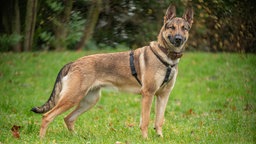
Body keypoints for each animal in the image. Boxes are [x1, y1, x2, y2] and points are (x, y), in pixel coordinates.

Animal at [31, 4, 192, 138]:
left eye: (184, 28)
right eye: (171, 27)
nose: (178, 39)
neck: (167, 57)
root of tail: (73, 63)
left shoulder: (163, 96)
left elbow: (159, 120)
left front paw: (160, 138)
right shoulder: (148, 94)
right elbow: (145, 121)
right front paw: (145, 139)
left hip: (89, 100)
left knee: (68, 118)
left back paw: (77, 138)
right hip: (72, 98)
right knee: (47, 117)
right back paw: (42, 139)